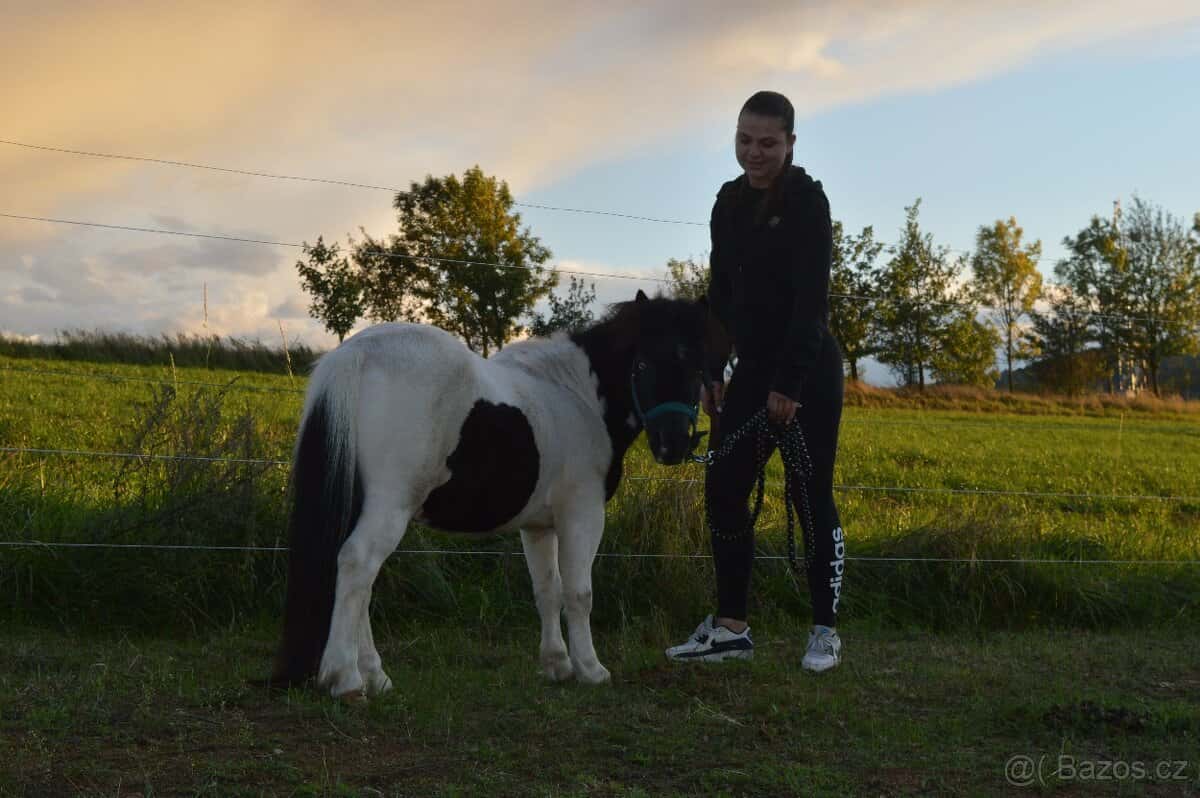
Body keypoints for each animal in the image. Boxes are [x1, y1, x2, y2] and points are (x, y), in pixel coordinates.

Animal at [268, 290, 729, 699]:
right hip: (389, 507)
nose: (672, 445)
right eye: (642, 363)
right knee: (357, 564)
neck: (577, 396)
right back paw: (345, 679)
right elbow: (579, 594)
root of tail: (357, 353)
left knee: (359, 581)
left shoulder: (539, 526)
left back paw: (376, 678)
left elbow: (547, 590)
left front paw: (557, 665)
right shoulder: (582, 516)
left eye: (696, 368)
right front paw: (591, 669)